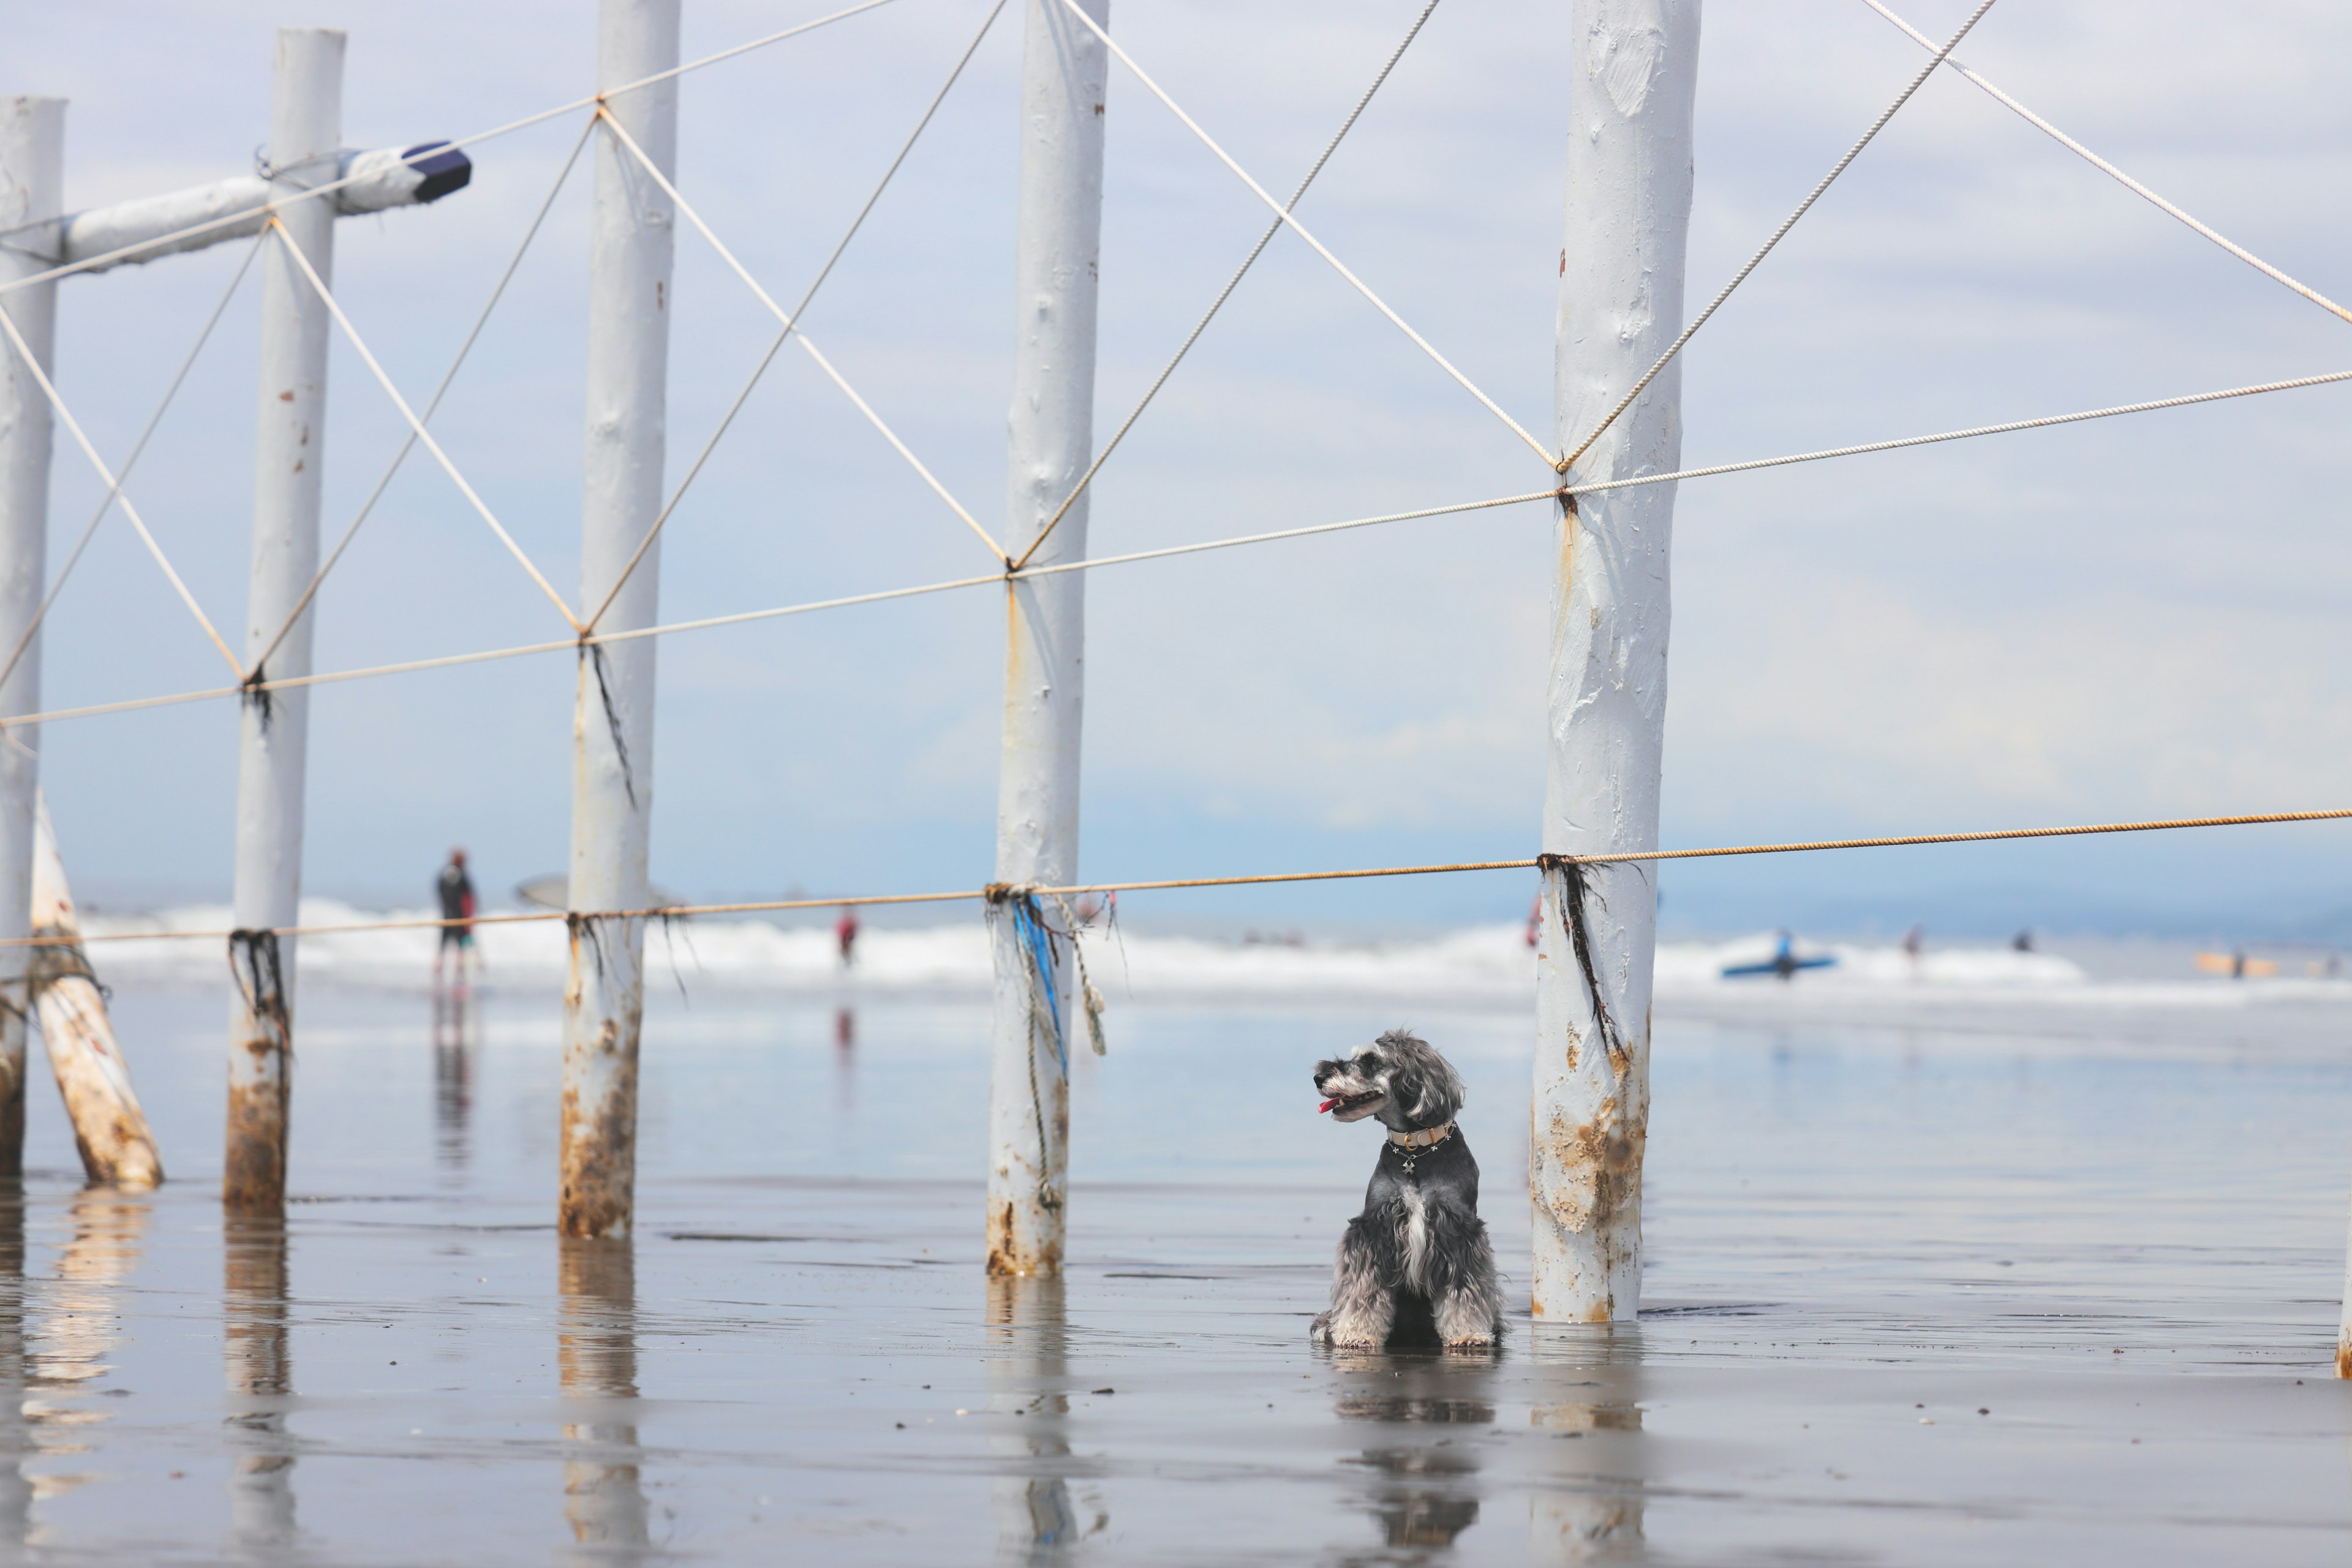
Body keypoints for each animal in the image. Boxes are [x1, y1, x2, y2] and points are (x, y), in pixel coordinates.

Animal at [1308, 1030, 1505, 1354]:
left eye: (1370, 1061)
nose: (1318, 1077)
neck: (1415, 1149)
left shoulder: (1459, 1231)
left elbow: (1463, 1289)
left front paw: (1468, 1334)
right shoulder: (1374, 1228)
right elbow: (1365, 1290)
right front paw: (1357, 1333)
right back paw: (1329, 1328)